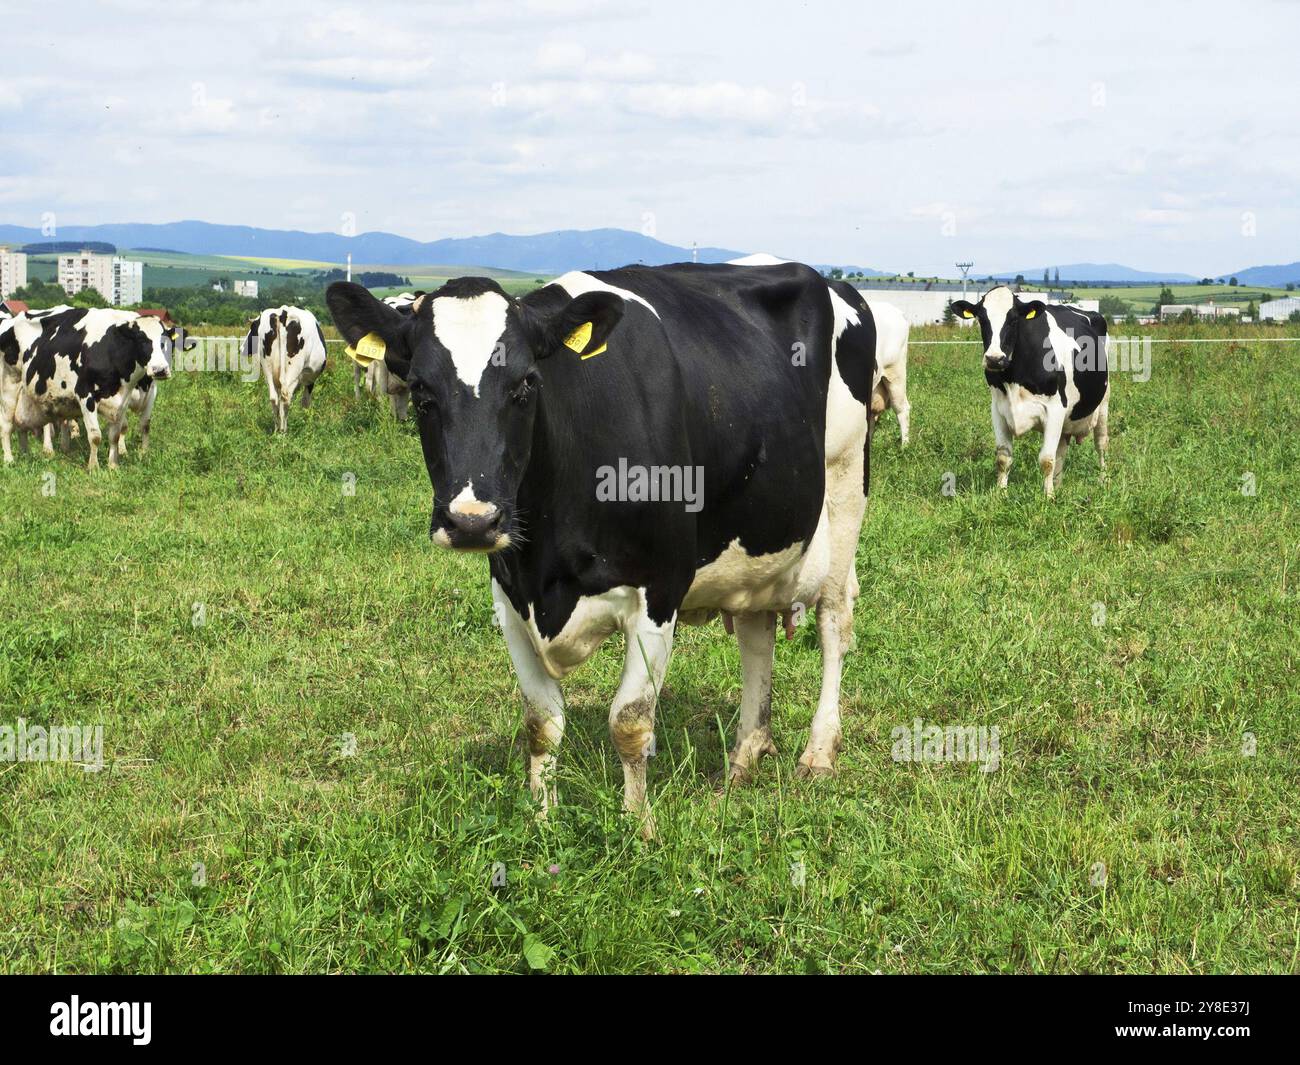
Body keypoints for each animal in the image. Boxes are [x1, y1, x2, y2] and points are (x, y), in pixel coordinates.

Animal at [0, 307, 175, 469]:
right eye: (141, 339)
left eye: (165, 342)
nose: (160, 370)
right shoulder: (86, 395)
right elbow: (95, 435)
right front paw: (94, 467)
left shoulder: (125, 400)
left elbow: (118, 433)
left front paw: (114, 465)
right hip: (9, 386)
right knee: (7, 425)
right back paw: (10, 459)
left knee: (22, 423)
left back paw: (27, 454)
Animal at [327, 260, 878, 838]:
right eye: (420, 390)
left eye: (526, 384)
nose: (472, 521)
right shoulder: (509, 593)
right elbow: (541, 722)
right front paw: (541, 821)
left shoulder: (661, 588)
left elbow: (630, 722)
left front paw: (638, 827)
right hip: (757, 539)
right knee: (756, 633)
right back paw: (744, 757)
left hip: (845, 490)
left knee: (834, 622)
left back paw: (818, 753)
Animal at [949, 285, 1109, 496]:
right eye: (981, 319)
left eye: (1014, 320)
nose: (994, 359)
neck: (1013, 378)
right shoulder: (998, 409)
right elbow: (1003, 458)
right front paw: (1001, 494)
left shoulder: (1056, 409)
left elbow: (1046, 459)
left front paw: (1048, 497)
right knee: (1061, 449)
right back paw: (1058, 484)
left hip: (1104, 403)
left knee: (1101, 443)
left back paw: (1103, 480)